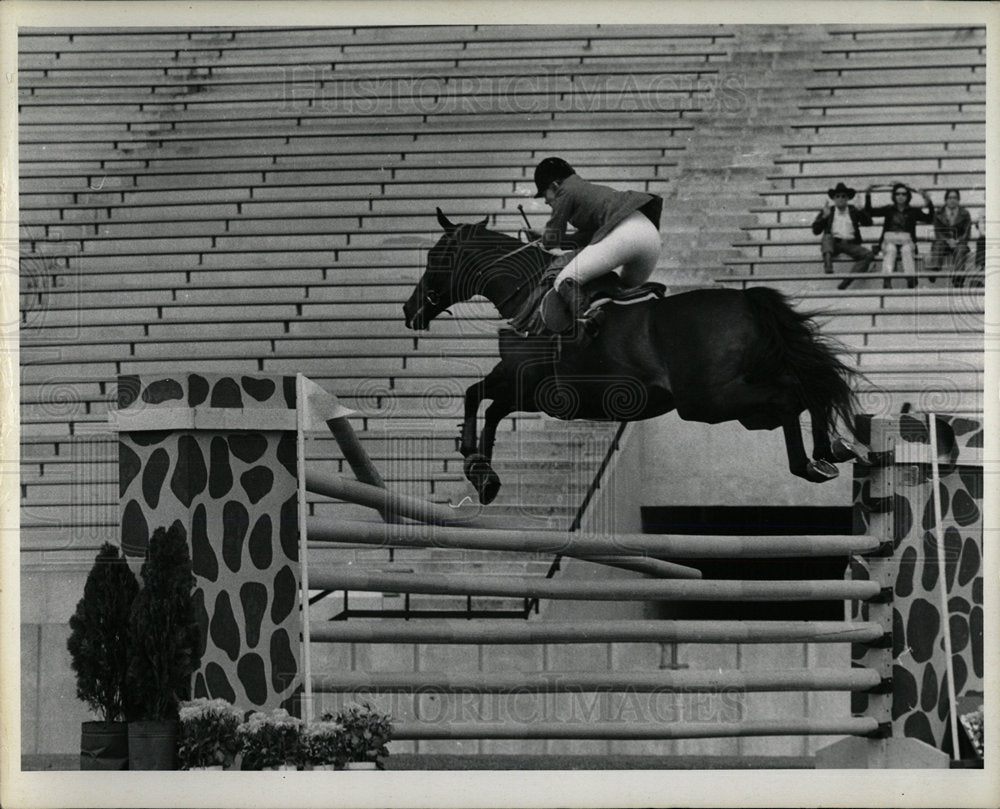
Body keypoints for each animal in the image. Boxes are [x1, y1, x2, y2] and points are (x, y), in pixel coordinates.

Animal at [402, 211, 864, 508]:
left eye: (435, 258)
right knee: (802, 391)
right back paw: (833, 451)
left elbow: (481, 400)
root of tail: (747, 300)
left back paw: (810, 463)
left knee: (791, 396)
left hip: (708, 402)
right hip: (742, 405)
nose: (410, 311)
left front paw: (475, 464)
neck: (527, 293)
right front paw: (481, 473)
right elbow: (484, 402)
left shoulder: (527, 384)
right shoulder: (524, 387)